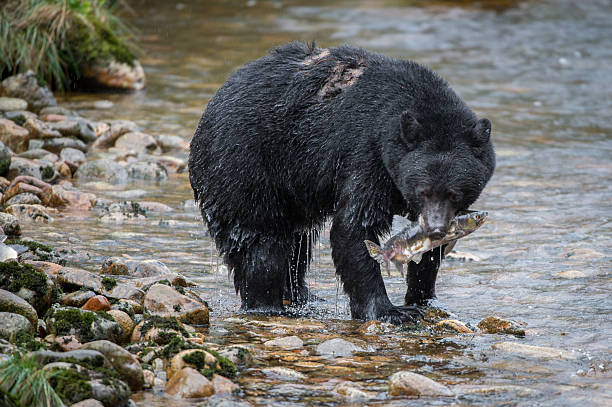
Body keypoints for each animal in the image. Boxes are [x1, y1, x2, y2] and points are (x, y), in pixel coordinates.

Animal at [189, 42, 494, 326]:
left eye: (454, 194)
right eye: (423, 191)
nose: (436, 227)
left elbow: (430, 254)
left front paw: (424, 298)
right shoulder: (365, 154)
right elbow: (354, 227)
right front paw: (390, 311)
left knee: (297, 243)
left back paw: (303, 294)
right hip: (245, 166)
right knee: (261, 243)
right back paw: (269, 305)